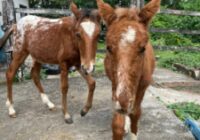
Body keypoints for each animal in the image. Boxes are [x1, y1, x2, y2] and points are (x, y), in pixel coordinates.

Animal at [96, 0, 159, 139]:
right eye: (108, 48)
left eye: (143, 48)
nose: (124, 102)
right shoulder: (115, 86)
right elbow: (117, 124)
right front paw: (123, 126)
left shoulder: (142, 88)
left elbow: (135, 114)